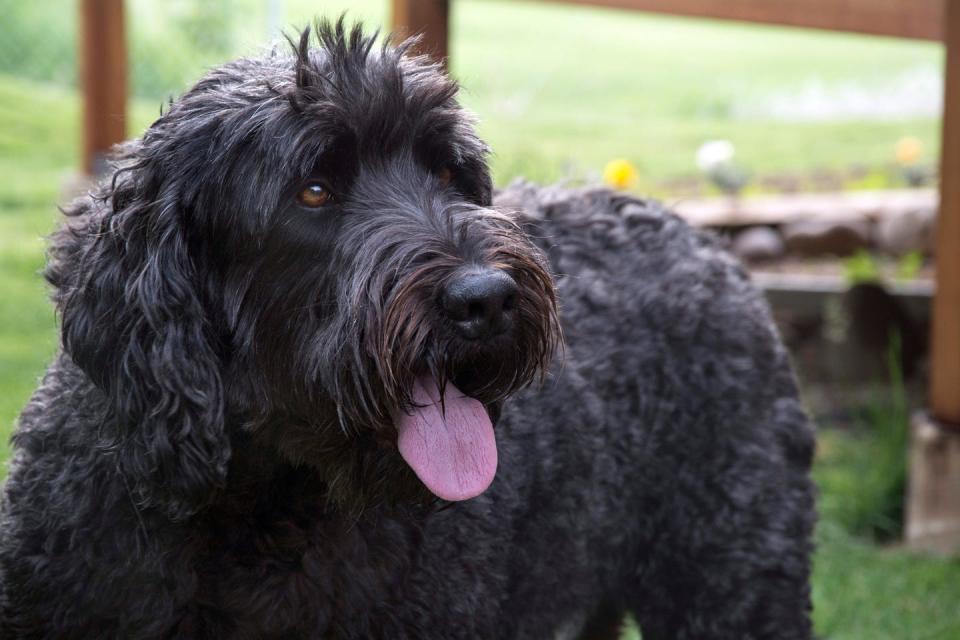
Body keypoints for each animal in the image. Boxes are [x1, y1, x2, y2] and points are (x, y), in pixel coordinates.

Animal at [0, 22, 816, 636]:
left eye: (450, 173)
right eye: (314, 189)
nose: (487, 299)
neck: (261, 510)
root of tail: (699, 239)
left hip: (735, 578)